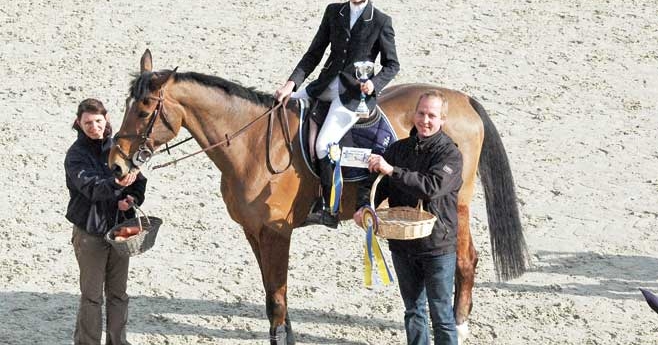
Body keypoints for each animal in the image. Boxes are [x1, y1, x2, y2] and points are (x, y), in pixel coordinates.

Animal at [109, 49, 528, 344]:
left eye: (143, 110)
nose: (116, 164)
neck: (251, 143)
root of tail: (462, 99)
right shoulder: (254, 232)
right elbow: (271, 295)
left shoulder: (276, 233)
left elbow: (277, 298)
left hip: (457, 204)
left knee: (466, 260)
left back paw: (459, 326)